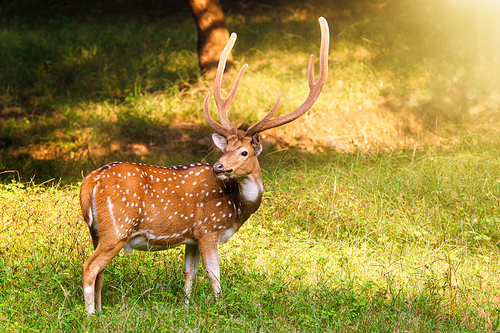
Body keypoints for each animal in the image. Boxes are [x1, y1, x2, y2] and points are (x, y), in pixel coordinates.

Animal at [80, 16, 330, 312]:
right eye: (225, 149)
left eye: (243, 151)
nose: (218, 167)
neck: (236, 208)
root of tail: (88, 183)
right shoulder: (209, 229)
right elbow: (215, 276)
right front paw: (221, 308)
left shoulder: (192, 237)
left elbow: (190, 273)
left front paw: (187, 308)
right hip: (117, 227)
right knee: (89, 267)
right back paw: (90, 314)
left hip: (96, 230)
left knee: (99, 271)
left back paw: (101, 310)